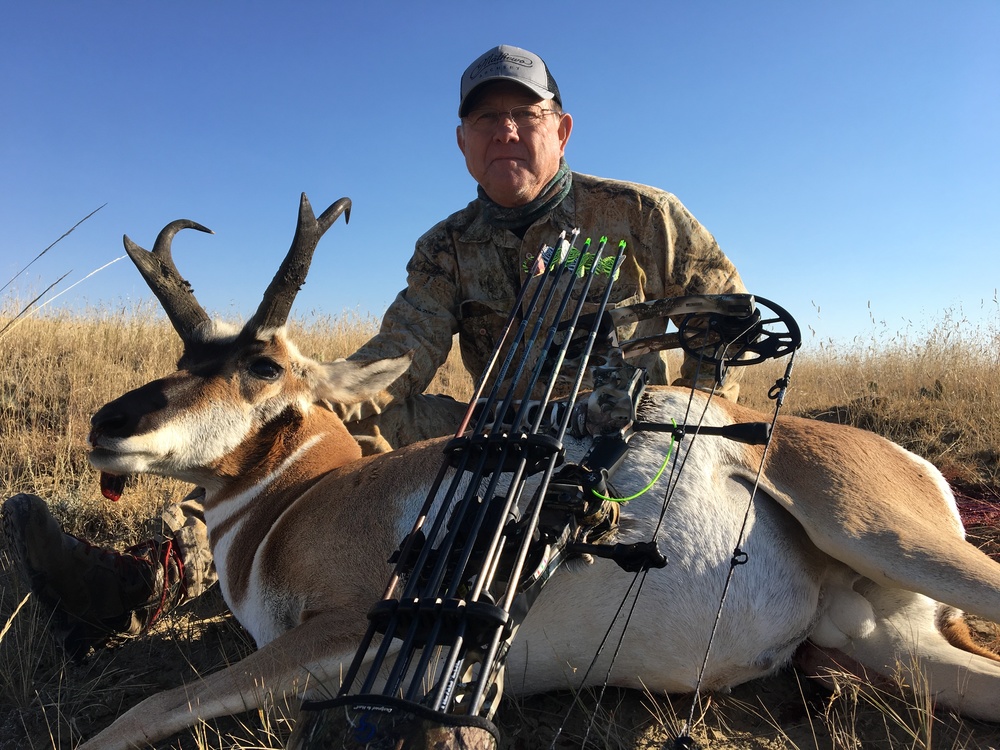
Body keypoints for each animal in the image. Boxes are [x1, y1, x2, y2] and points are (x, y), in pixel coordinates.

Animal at [67, 195, 1000, 749]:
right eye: (186, 357)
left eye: (261, 366)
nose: (108, 425)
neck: (299, 501)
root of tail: (912, 461)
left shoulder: (339, 630)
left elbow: (138, 714)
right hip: (885, 641)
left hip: (883, 535)